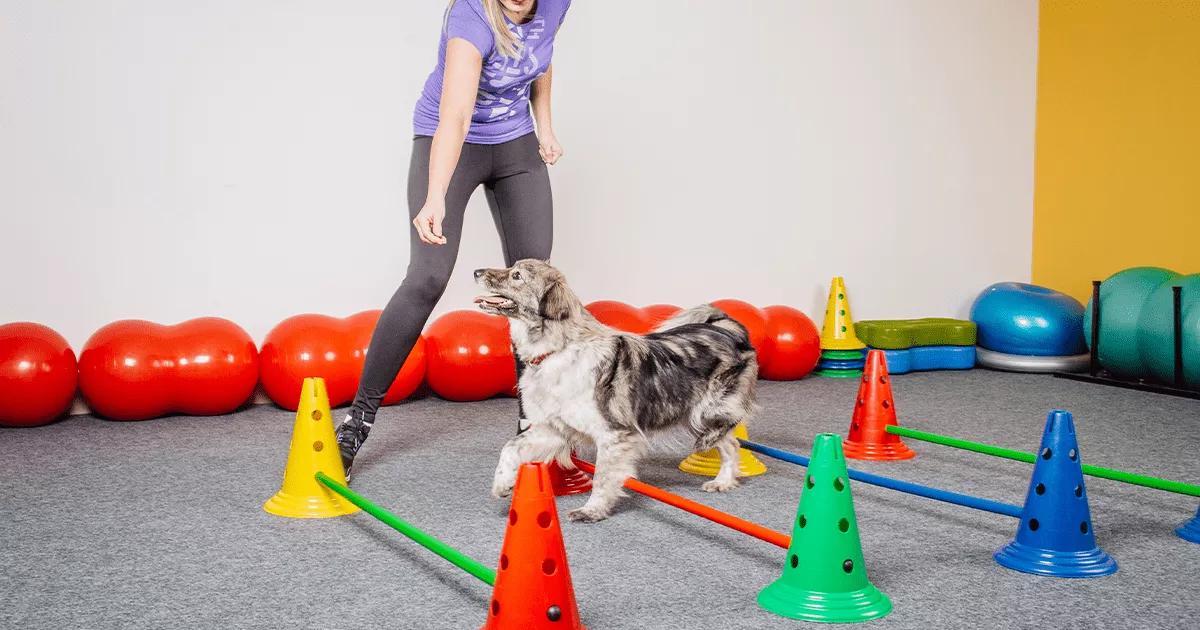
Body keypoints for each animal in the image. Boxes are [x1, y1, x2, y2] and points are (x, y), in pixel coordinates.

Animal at [470, 256, 758, 520]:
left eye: (516, 276)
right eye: (512, 269)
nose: (476, 271)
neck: (558, 349)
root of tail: (727, 329)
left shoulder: (613, 434)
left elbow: (602, 477)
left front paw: (592, 510)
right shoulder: (555, 429)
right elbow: (510, 447)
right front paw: (503, 483)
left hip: (706, 411)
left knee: (729, 429)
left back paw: (714, 456)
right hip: (692, 415)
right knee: (732, 445)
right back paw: (723, 481)